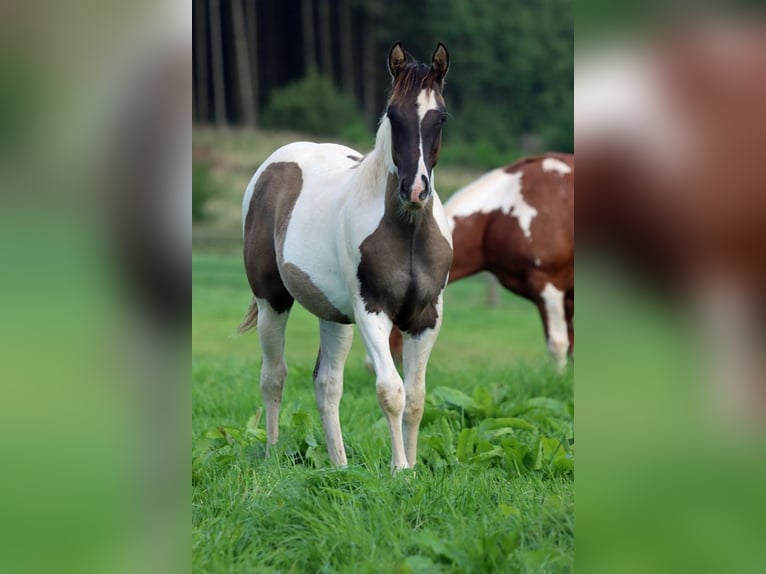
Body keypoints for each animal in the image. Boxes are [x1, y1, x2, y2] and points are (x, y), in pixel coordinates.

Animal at [240, 44, 452, 468]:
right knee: (273, 376)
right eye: (392, 114)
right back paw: (272, 455)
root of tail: (271, 167)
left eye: (440, 117)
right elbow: (391, 391)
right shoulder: (372, 311)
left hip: (334, 317)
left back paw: (339, 465)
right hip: (272, 301)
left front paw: (413, 466)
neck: (408, 231)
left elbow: (416, 398)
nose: (415, 190)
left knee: (327, 384)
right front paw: (399, 469)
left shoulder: (426, 317)